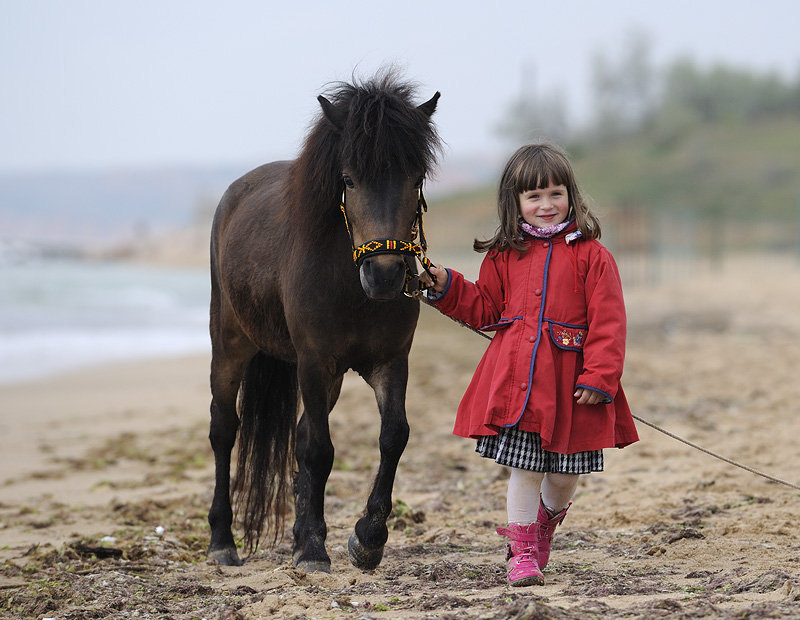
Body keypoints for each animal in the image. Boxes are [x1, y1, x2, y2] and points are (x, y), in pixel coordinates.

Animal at [206, 72, 440, 572]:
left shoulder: (391, 362)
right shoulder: (314, 363)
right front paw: (313, 549)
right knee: (223, 430)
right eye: (348, 179)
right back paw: (222, 541)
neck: (350, 286)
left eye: (416, 178)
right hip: (230, 344)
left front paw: (367, 539)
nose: (385, 275)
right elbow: (319, 449)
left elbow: (393, 437)